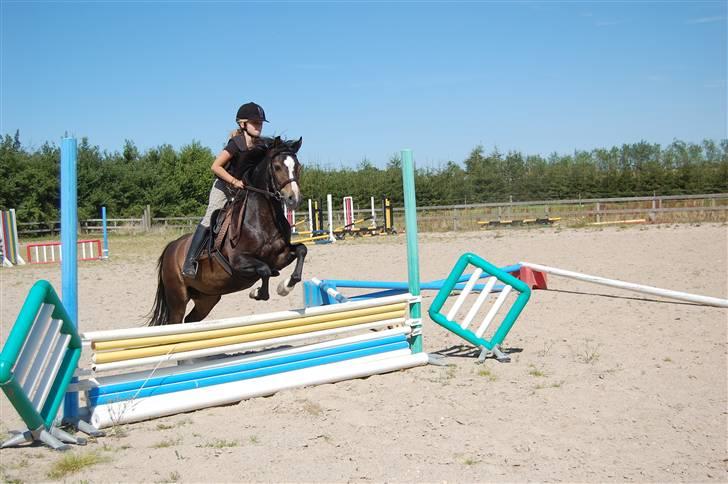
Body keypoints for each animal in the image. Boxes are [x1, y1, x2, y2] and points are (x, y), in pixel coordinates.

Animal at [147, 136, 307, 326]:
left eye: (298, 167)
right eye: (277, 167)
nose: (293, 199)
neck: (262, 219)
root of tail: (171, 247)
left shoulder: (279, 256)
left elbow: (301, 250)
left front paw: (285, 287)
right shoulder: (239, 263)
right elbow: (264, 270)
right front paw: (256, 292)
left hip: (207, 298)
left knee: (191, 319)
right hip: (177, 299)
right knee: (176, 320)